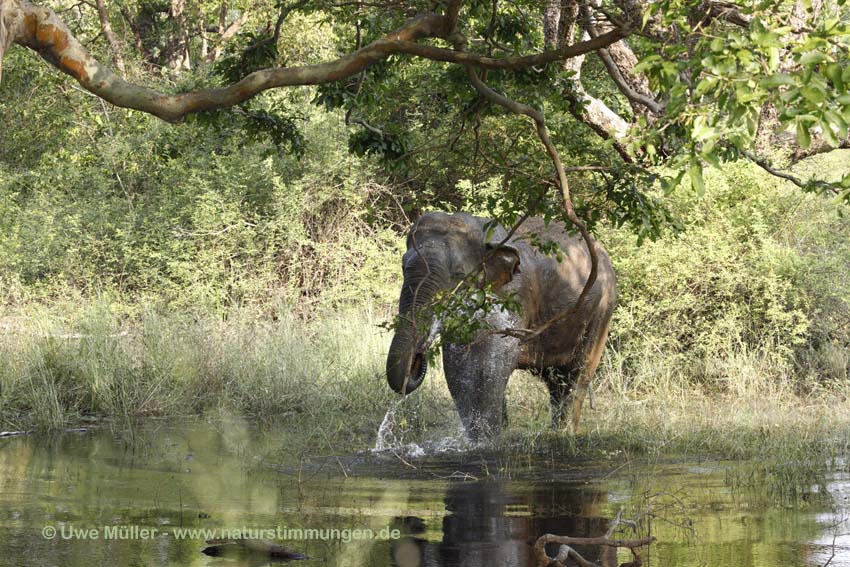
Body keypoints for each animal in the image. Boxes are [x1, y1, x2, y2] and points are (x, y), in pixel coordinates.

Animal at [384, 211, 616, 442]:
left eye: (459, 275)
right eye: (403, 267)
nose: (417, 360)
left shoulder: (512, 295)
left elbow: (489, 362)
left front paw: (485, 442)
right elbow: (458, 361)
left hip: (602, 309)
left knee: (578, 375)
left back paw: (564, 434)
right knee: (557, 381)